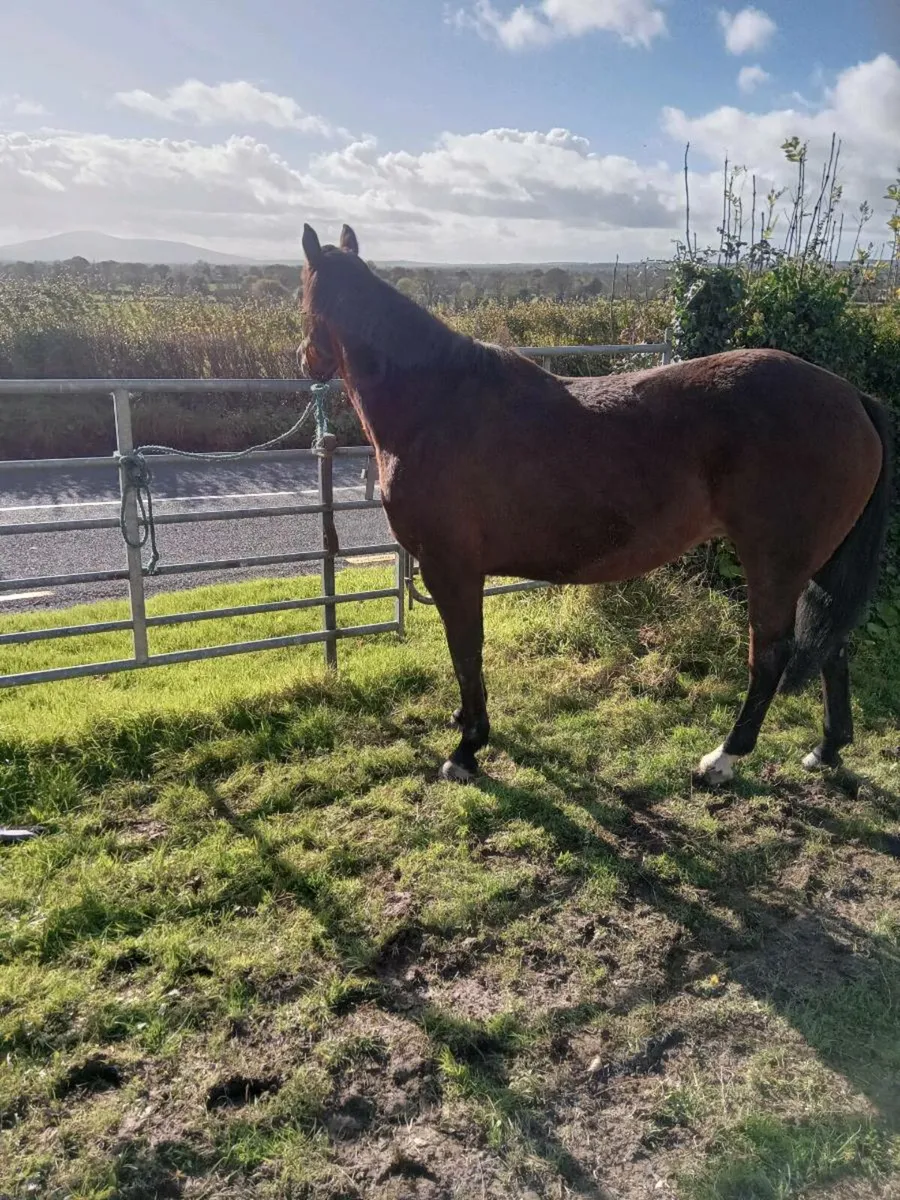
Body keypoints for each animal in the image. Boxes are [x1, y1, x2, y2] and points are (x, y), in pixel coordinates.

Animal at [299, 223, 891, 787]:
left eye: (302, 297)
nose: (305, 360)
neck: (435, 405)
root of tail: (852, 398)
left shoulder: (452, 569)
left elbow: (466, 652)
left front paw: (467, 751)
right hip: (816, 566)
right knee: (833, 646)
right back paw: (826, 748)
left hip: (775, 562)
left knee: (770, 654)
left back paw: (722, 759)